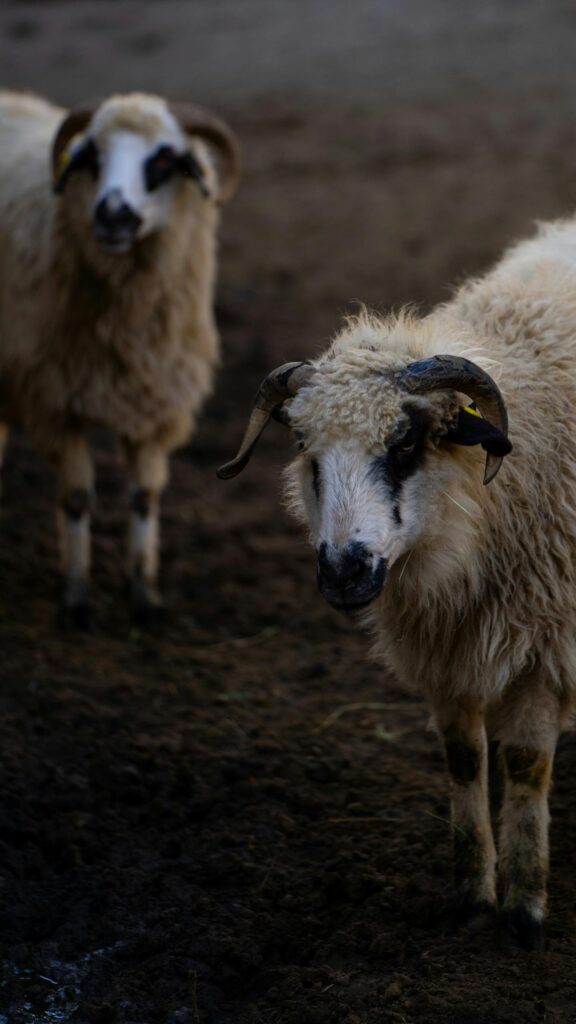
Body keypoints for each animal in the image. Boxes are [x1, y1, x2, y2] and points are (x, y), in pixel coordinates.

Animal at [0, 90, 239, 622]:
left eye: (166, 159)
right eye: (91, 155)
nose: (112, 214)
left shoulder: (154, 398)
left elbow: (144, 498)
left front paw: (143, 592)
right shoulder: (56, 402)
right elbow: (76, 498)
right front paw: (75, 595)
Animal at [217, 218, 576, 948]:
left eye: (406, 443)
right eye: (304, 448)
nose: (343, 570)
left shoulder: (544, 643)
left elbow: (527, 765)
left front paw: (525, 909)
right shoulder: (447, 647)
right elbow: (464, 759)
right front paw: (471, 897)